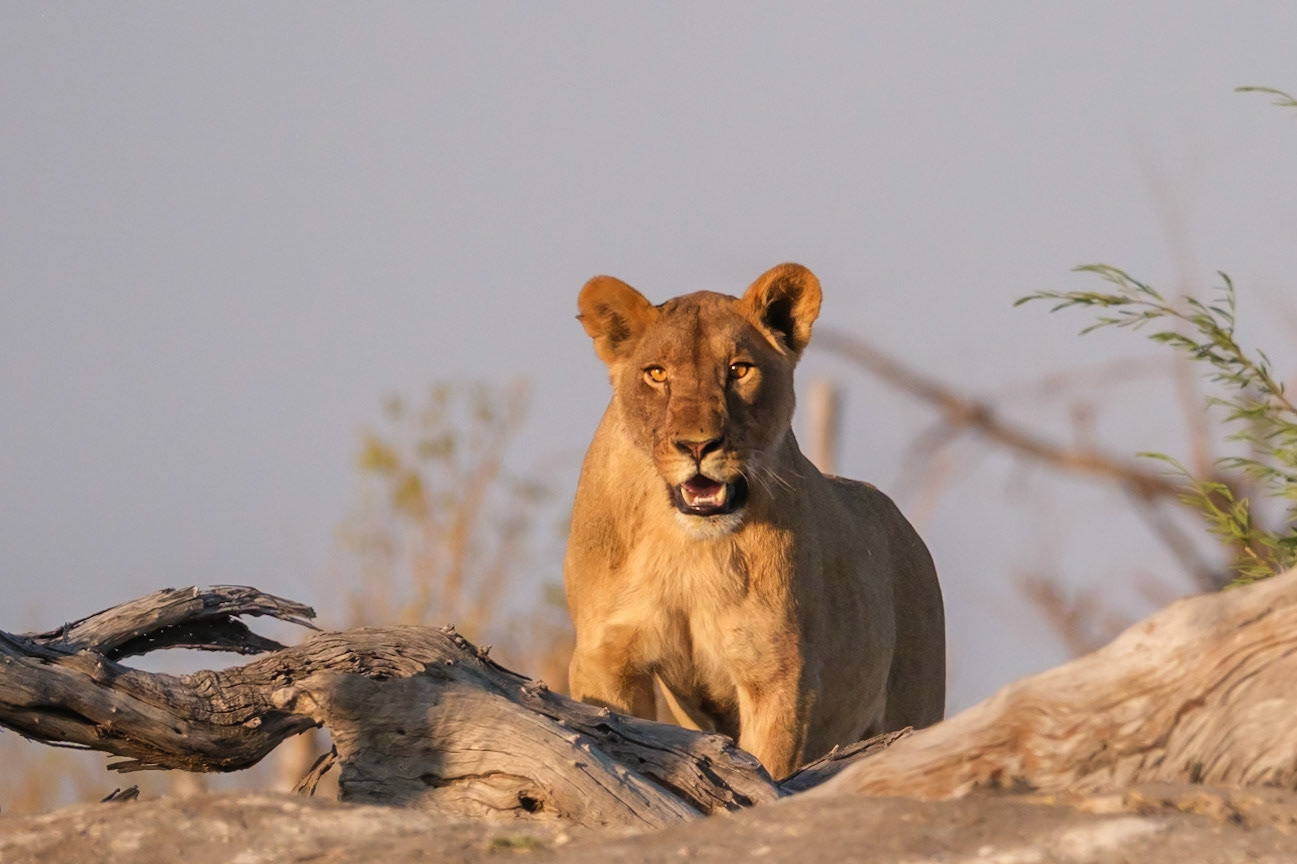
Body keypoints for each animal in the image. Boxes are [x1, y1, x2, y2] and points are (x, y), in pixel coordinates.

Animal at [563, 262, 945, 779]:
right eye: (657, 373)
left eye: (738, 370)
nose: (698, 445)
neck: (683, 545)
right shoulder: (606, 657)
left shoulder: (778, 673)